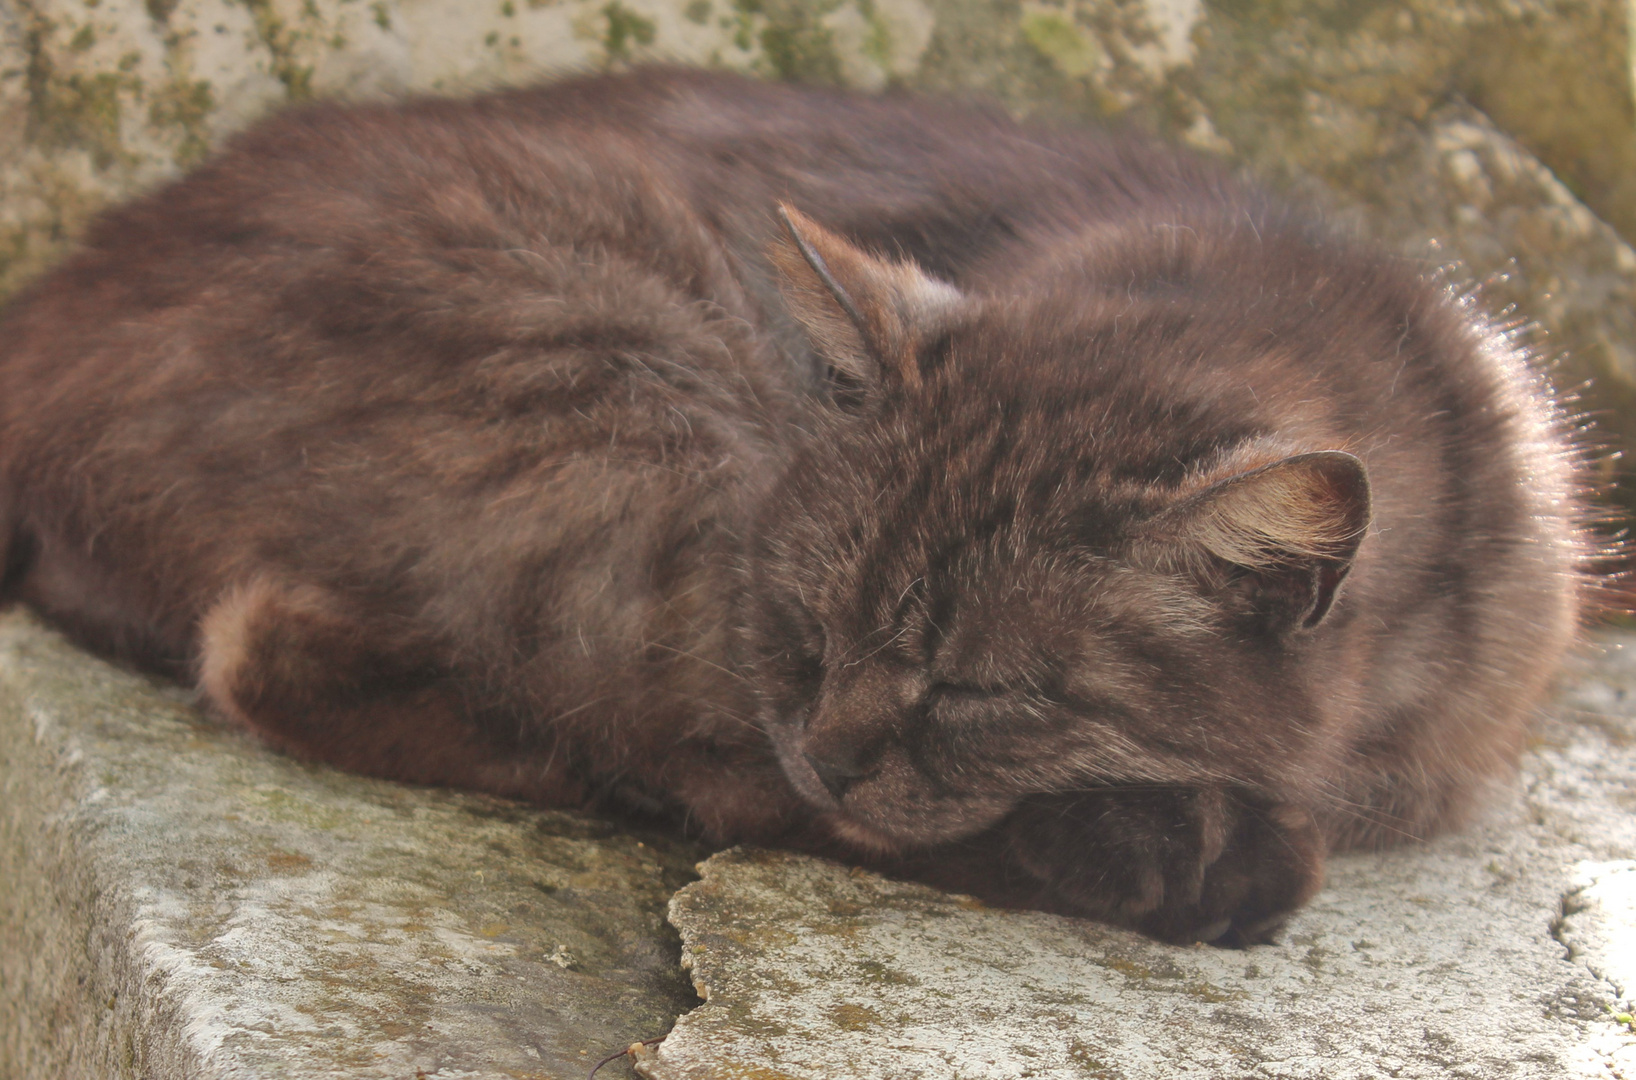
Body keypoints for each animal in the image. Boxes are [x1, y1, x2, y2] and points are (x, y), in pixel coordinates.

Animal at [0, 67, 1583, 942]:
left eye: (983, 690)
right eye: (813, 622)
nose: (831, 751)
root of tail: (48, 311)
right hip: (622, 370)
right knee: (306, 662)